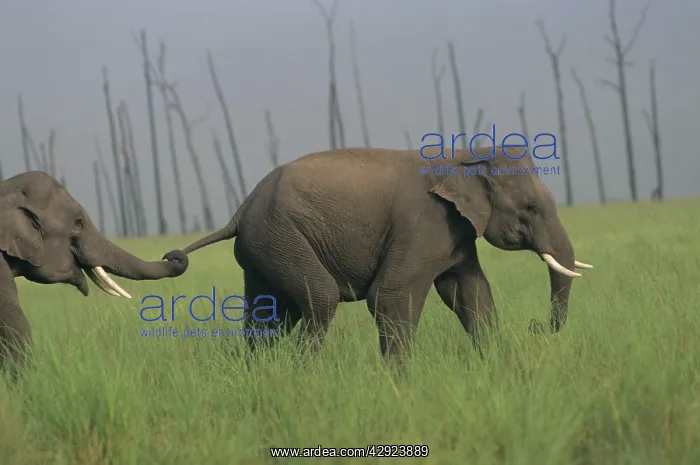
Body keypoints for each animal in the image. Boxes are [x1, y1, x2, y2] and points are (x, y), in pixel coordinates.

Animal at [173, 146, 592, 359]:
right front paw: (400, 382)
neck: (462, 153)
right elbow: (390, 296)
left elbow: (470, 292)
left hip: (264, 246)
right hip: (281, 236)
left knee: (269, 315)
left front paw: (494, 363)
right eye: (530, 209)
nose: (537, 327)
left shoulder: (455, 232)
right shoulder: (423, 223)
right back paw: (304, 372)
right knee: (318, 299)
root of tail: (240, 210)